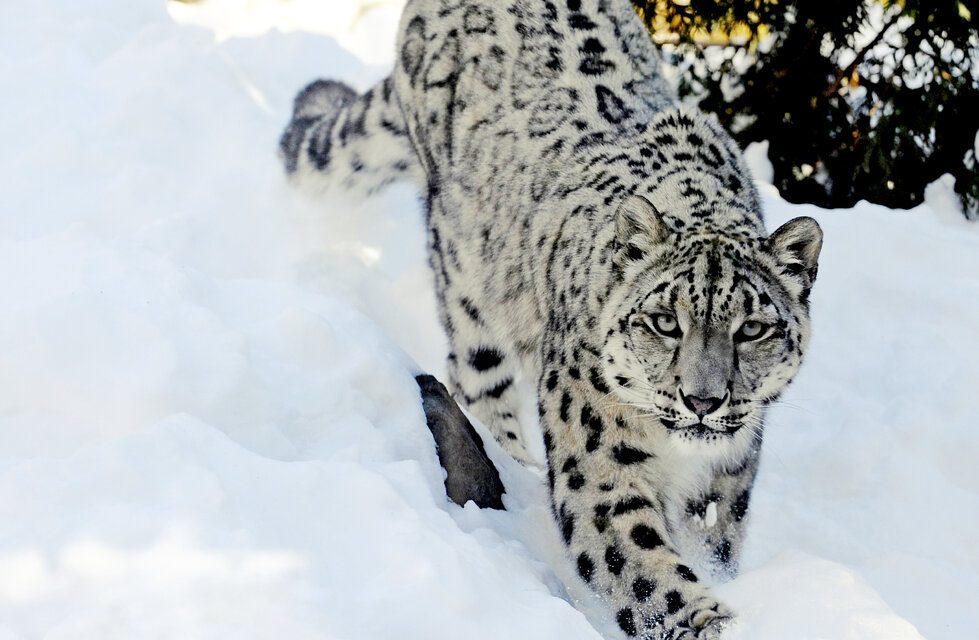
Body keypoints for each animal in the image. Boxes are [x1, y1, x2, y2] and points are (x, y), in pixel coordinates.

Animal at [278, 0, 823, 638]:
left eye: (752, 328)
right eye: (665, 322)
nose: (703, 400)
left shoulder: (726, 481)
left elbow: (713, 546)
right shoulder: (603, 471)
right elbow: (651, 576)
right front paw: (718, 622)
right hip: (468, 285)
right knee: (478, 384)